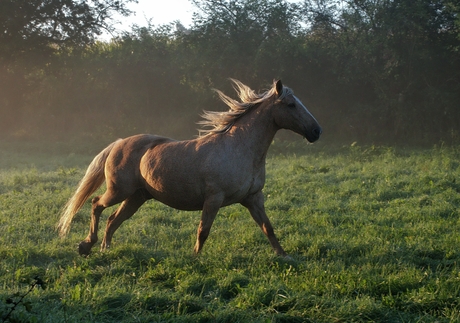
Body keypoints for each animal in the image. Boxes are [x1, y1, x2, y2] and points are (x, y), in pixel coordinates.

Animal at [57, 79, 322, 258]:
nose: (317, 131)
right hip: (119, 191)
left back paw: (105, 249)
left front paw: (284, 256)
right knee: (96, 205)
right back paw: (86, 245)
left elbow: (268, 228)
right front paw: (195, 258)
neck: (240, 148)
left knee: (113, 219)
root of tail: (118, 143)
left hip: (137, 197)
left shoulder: (253, 198)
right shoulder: (214, 198)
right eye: (290, 104)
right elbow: (203, 230)